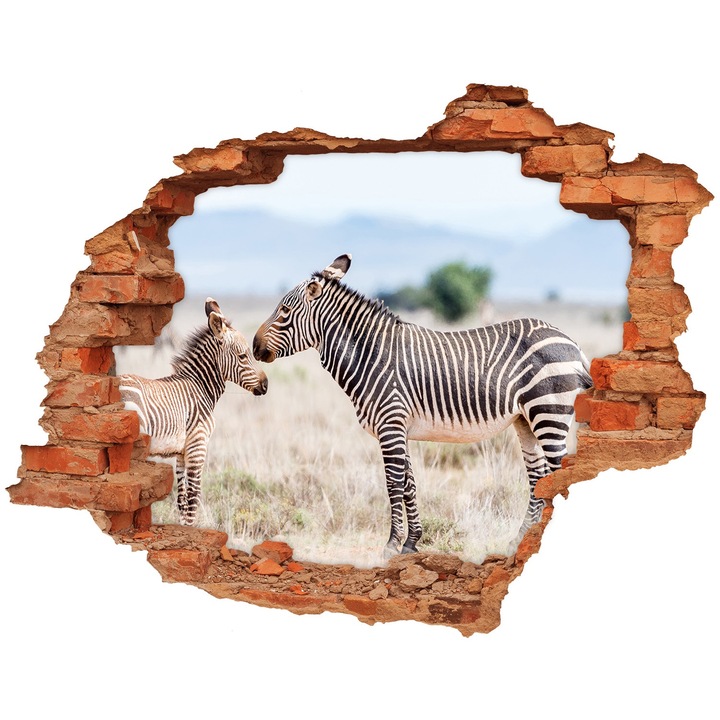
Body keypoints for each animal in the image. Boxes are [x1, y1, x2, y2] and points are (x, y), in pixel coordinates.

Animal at [120, 298, 268, 526]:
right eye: (243, 356)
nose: (266, 385)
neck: (199, 386)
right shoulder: (198, 445)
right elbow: (193, 497)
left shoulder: (181, 452)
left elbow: (181, 499)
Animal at [253, 254, 592, 557]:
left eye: (284, 310)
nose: (254, 348)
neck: (370, 355)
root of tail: (571, 342)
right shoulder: (399, 428)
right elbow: (409, 484)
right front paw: (411, 542)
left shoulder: (390, 422)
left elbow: (393, 483)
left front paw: (391, 545)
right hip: (526, 420)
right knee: (538, 477)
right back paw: (520, 541)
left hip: (549, 412)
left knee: (556, 475)